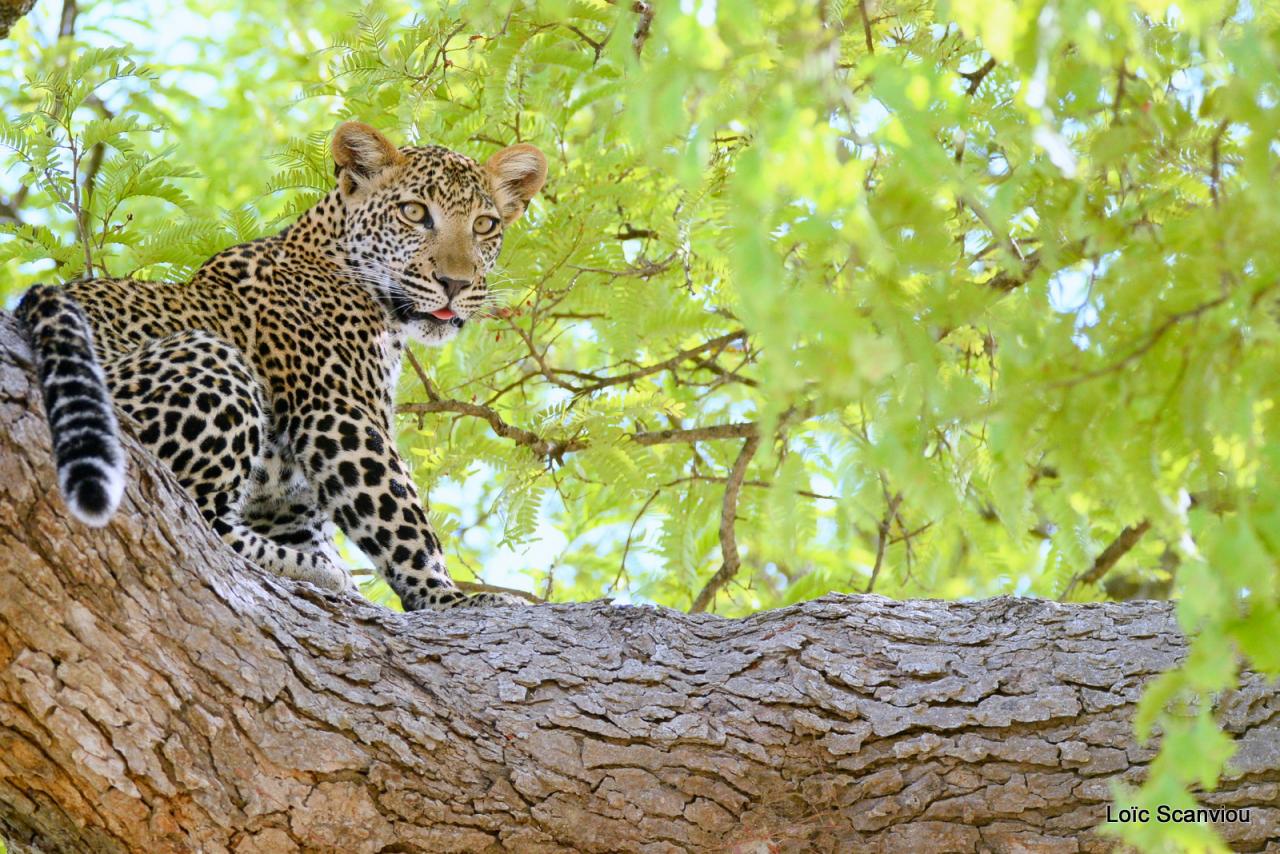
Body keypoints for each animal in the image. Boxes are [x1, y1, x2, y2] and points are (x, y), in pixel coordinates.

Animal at [15, 121, 545, 614]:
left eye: (484, 225)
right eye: (414, 213)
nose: (455, 283)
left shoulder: (289, 500)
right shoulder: (339, 415)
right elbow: (403, 523)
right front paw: (450, 599)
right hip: (211, 360)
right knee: (199, 518)